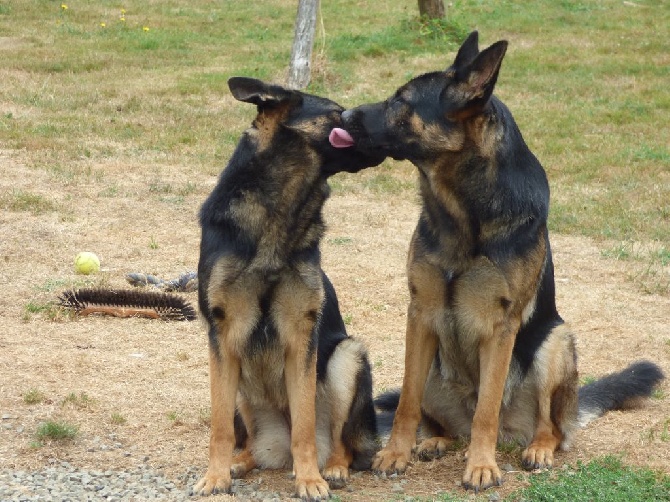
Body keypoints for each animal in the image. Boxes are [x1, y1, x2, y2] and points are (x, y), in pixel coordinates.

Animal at [192, 77, 386, 498]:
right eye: (338, 114)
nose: (383, 132)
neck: (280, 213)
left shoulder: (301, 337)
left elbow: (305, 426)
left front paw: (309, 478)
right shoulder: (223, 337)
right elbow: (219, 427)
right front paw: (215, 476)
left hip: (346, 357)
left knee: (341, 442)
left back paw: (333, 467)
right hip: (239, 387)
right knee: (246, 440)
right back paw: (239, 462)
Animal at [328, 33, 664, 492]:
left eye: (401, 101)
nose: (340, 114)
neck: (463, 211)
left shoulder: (501, 326)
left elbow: (486, 409)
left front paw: (481, 466)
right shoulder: (421, 314)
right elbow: (405, 405)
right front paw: (395, 454)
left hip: (557, 342)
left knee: (548, 427)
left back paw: (536, 448)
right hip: (434, 363)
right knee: (445, 423)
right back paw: (436, 441)